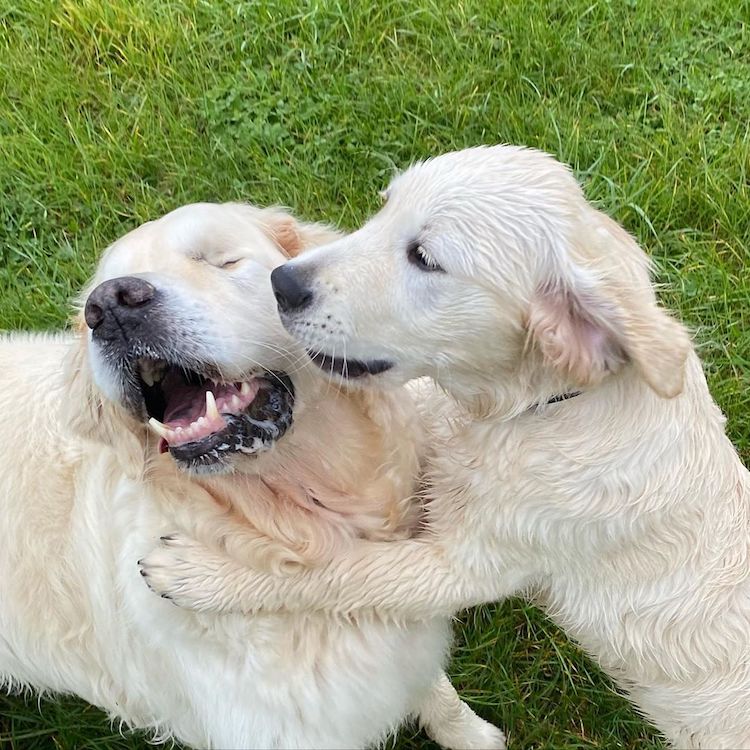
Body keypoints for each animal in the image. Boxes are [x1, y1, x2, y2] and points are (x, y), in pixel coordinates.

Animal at [144, 150, 750, 748]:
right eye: (385, 208)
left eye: (425, 258)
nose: (282, 282)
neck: (545, 408)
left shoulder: (467, 564)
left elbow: (333, 571)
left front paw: (200, 573)